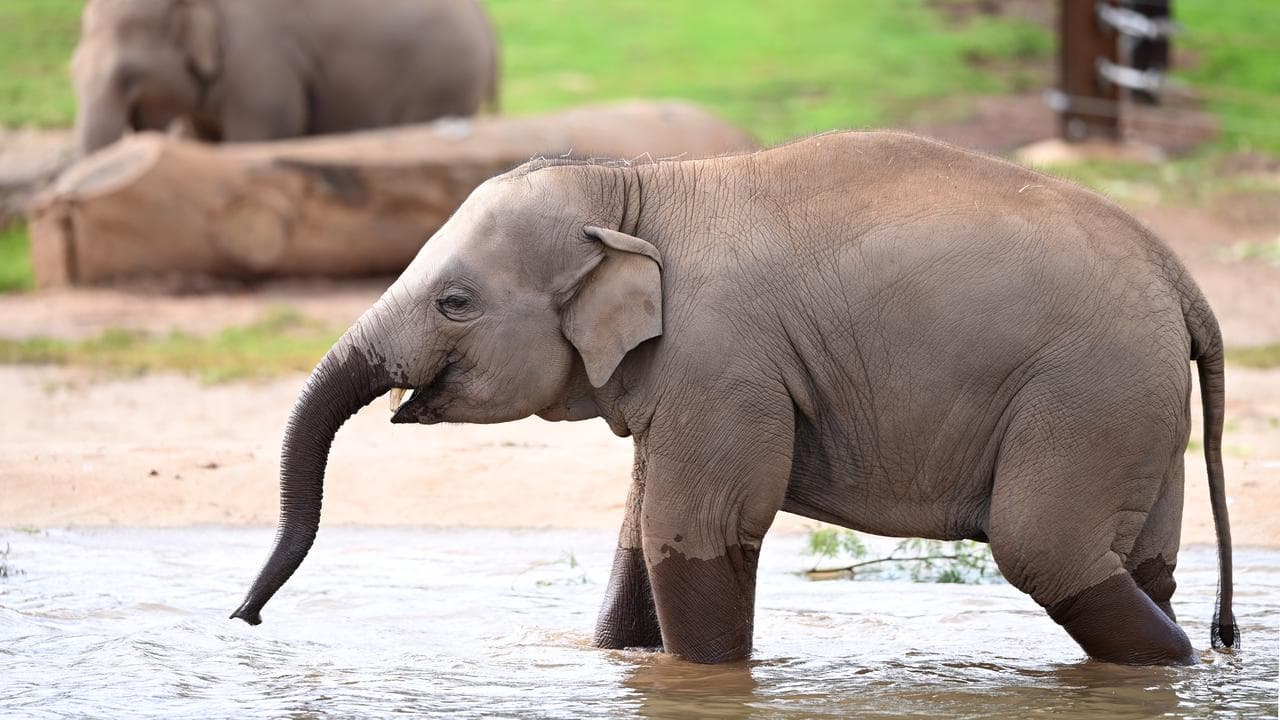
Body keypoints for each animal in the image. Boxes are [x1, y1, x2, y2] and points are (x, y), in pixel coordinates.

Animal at [70, 0, 498, 156]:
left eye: (128, 74)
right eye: (71, 69)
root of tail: (485, 19)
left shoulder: (261, 60)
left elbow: (256, 139)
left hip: (444, 78)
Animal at [231, 130, 1239, 666]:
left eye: (454, 302)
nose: (243, 621)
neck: (633, 186)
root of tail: (1181, 280)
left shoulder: (722, 368)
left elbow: (702, 526)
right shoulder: (678, 378)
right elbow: (644, 533)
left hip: (1090, 395)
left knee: (1043, 548)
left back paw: (1180, 667)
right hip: (1143, 410)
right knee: (1140, 560)